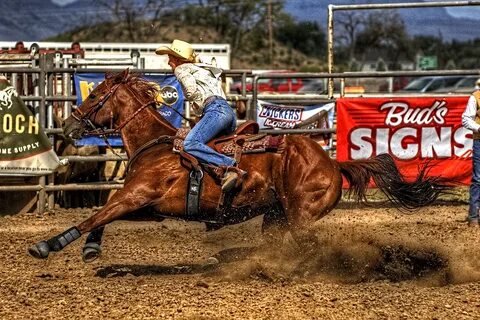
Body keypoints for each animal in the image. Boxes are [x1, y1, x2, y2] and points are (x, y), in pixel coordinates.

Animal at [28, 69, 452, 262]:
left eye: (95, 95)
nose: (68, 126)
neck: (157, 145)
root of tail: (332, 164)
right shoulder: (147, 206)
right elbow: (101, 218)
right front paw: (90, 250)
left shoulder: (137, 193)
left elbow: (94, 215)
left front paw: (46, 245)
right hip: (276, 216)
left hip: (299, 214)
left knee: (310, 248)